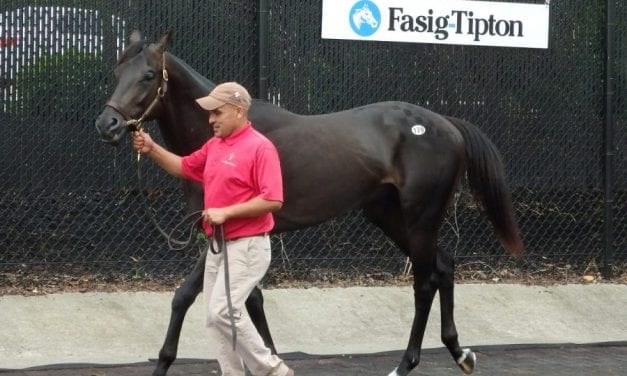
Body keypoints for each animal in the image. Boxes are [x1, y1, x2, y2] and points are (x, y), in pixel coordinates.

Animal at [94, 32, 524, 376]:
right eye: (117, 74)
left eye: (148, 75)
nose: (107, 125)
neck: (227, 136)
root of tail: (448, 124)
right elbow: (252, 300)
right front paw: (269, 357)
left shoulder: (220, 228)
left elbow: (184, 296)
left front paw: (164, 362)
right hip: (388, 215)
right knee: (444, 265)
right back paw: (459, 353)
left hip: (420, 217)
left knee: (425, 282)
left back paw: (405, 364)